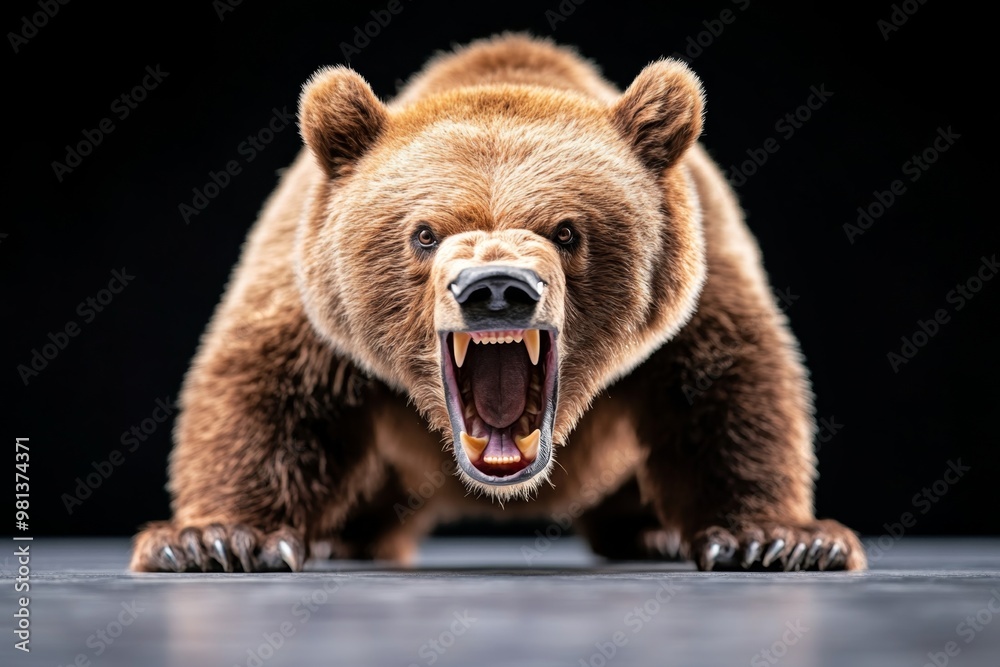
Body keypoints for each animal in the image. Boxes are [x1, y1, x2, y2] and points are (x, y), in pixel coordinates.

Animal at [130, 34, 865, 573]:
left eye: (567, 231)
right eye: (424, 233)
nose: (496, 289)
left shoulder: (699, 286)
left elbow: (733, 390)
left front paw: (778, 539)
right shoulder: (310, 294)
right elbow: (265, 390)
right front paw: (214, 539)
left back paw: (651, 533)